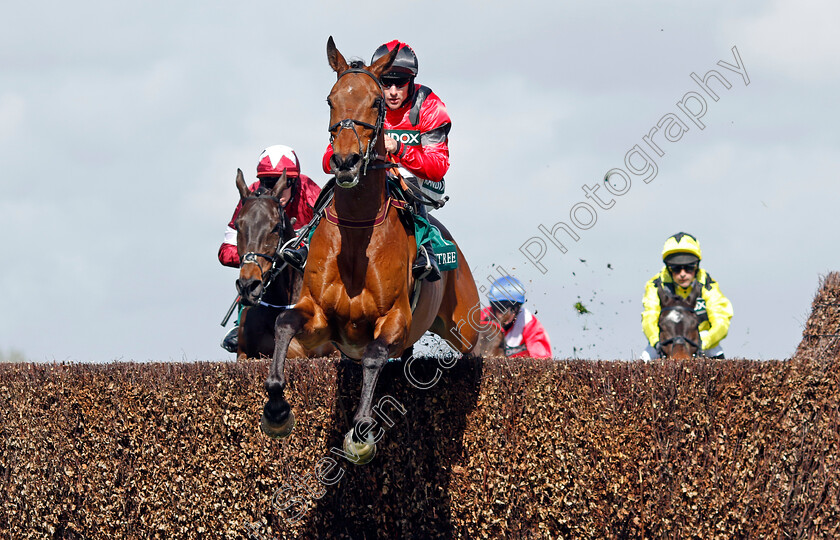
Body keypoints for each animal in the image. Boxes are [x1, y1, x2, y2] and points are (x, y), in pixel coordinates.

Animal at [262, 37, 486, 464]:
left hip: (463, 325)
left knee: (474, 351)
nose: (345, 161)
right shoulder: (318, 319)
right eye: (331, 99)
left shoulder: (395, 318)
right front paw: (277, 411)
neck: (357, 234)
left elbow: (373, 356)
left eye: (378, 101)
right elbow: (282, 323)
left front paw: (362, 433)